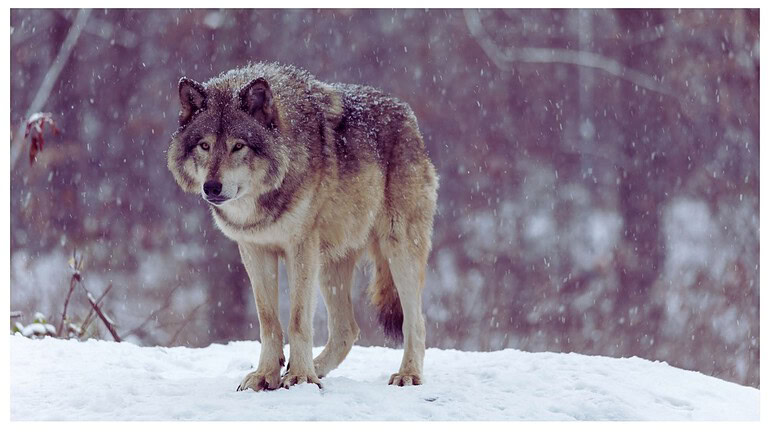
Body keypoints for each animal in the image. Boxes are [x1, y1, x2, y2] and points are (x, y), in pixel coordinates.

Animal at [167, 62, 438, 391]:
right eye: (204, 145)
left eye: (238, 146)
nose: (212, 187)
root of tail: (408, 116)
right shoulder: (255, 250)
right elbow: (268, 321)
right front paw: (267, 375)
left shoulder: (300, 248)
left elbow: (297, 320)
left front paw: (299, 377)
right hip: (331, 265)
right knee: (347, 330)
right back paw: (316, 368)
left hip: (397, 249)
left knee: (416, 321)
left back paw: (407, 374)